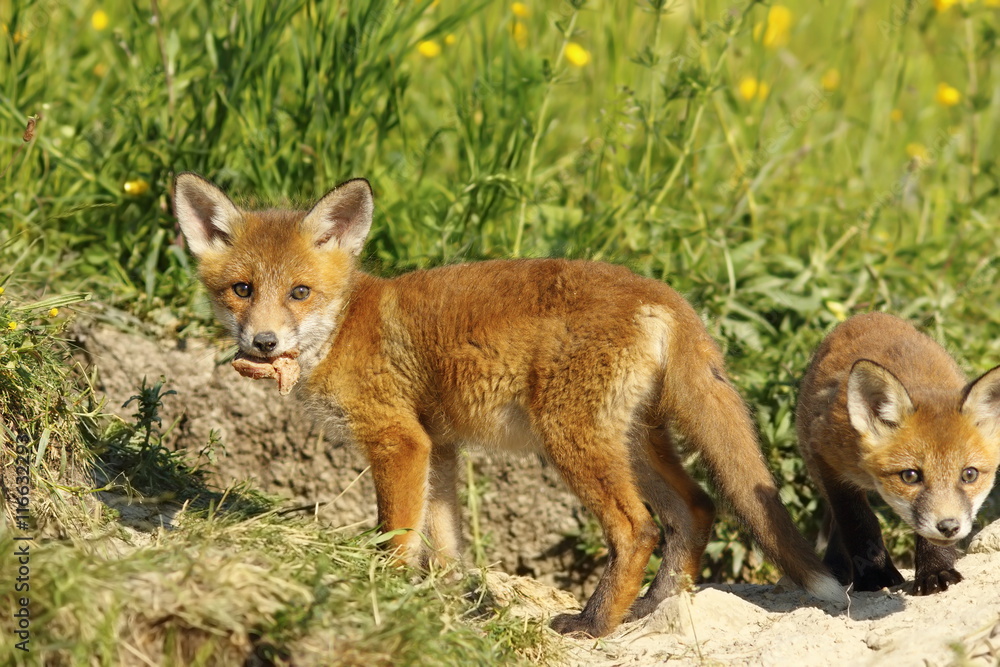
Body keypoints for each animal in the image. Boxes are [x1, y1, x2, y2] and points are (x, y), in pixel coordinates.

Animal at [172, 172, 844, 637]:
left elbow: (396, 536)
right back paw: (654, 609)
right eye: (242, 289)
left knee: (638, 528)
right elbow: (444, 545)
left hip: (571, 439)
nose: (263, 342)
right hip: (632, 441)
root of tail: (660, 291)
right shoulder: (439, 447)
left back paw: (593, 625)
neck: (342, 330)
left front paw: (381, 596)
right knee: (698, 509)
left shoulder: (398, 440)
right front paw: (441, 606)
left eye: (300, 292)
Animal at [796, 312, 1000, 595]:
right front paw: (875, 575)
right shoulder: (827, 459)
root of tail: (869, 315)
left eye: (969, 474)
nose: (948, 527)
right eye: (910, 476)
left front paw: (935, 570)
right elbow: (858, 522)